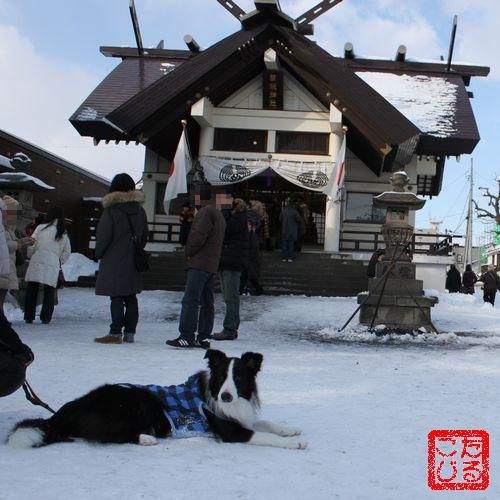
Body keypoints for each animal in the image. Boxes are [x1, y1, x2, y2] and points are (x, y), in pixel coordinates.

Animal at [8, 349, 307, 450]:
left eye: (239, 377)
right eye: (222, 377)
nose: (225, 395)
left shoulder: (242, 415)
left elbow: (266, 423)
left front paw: (290, 429)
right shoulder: (230, 430)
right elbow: (264, 435)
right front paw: (295, 443)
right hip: (134, 402)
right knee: (105, 434)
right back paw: (146, 438)